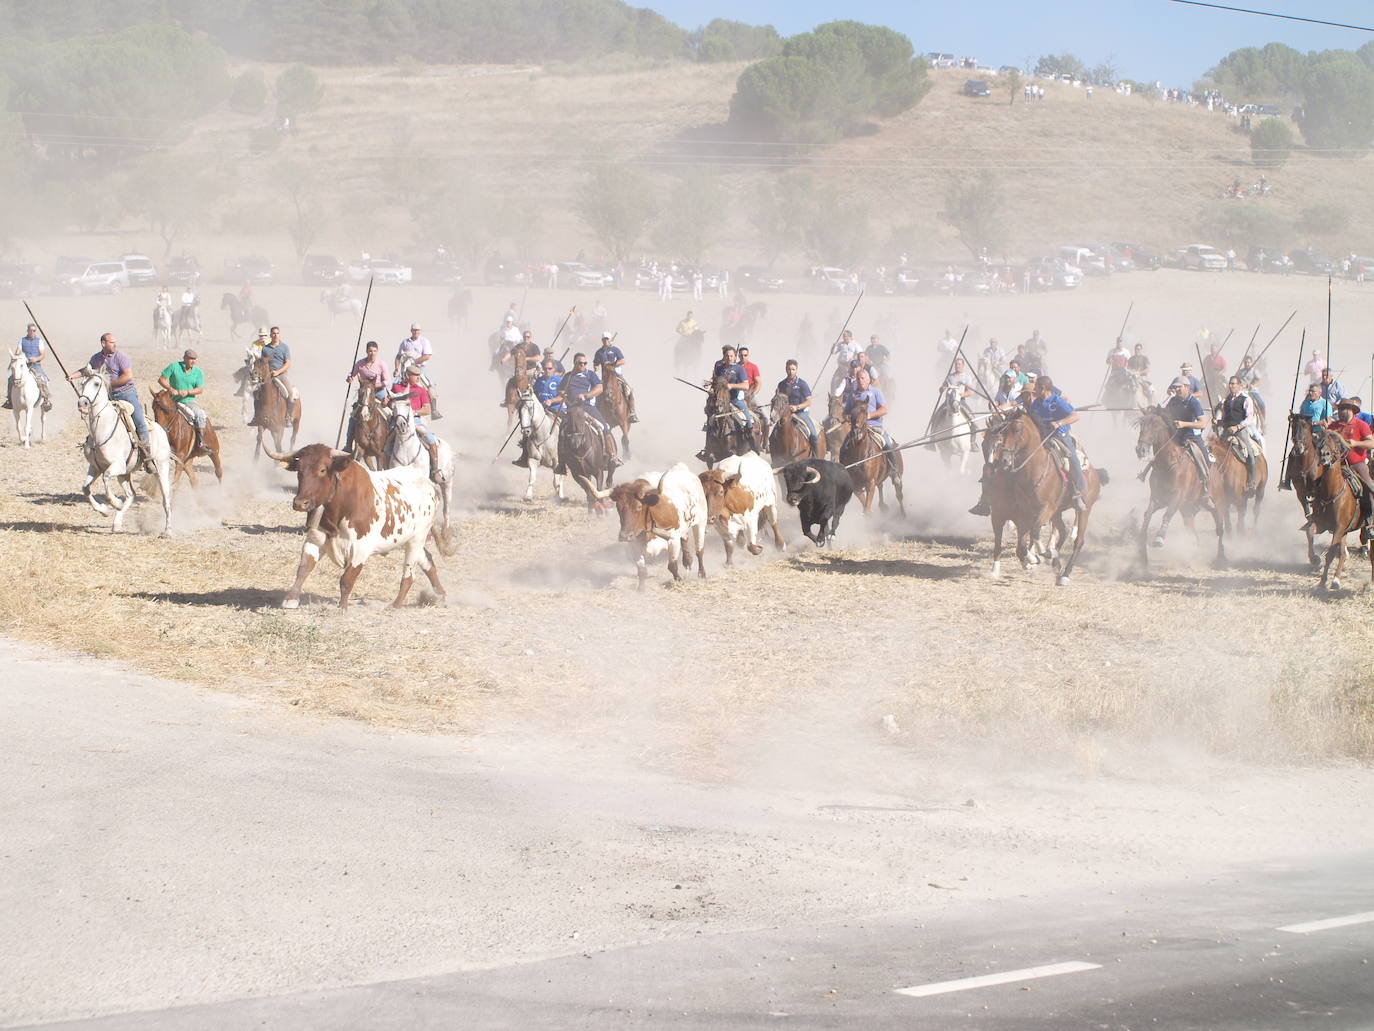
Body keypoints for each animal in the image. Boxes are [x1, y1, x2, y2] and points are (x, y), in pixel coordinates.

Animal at [74, 373, 173, 536]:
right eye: (82, 383)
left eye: (96, 383)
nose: (82, 403)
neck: (102, 430)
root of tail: (161, 430)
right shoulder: (95, 467)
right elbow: (86, 488)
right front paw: (105, 511)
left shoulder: (116, 466)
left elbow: (106, 479)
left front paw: (115, 503)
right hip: (124, 474)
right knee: (131, 494)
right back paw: (117, 523)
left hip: (161, 468)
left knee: (166, 500)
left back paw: (167, 531)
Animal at [273, 442, 450, 604]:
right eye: (299, 470)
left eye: (322, 470)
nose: (300, 503)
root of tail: (430, 484)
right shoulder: (314, 538)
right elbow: (304, 568)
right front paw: (290, 599)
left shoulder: (360, 549)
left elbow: (346, 580)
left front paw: (342, 608)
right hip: (407, 539)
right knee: (427, 560)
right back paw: (441, 595)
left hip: (417, 539)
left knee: (409, 574)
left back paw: (396, 605)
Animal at [384, 398, 458, 552]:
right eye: (393, 407)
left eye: (408, 405)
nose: (401, 425)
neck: (407, 449)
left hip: (447, 483)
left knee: (446, 508)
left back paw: (445, 534)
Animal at [983, 415, 1110, 588]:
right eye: (983, 443)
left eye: (1016, 430)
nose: (1003, 460)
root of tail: (1094, 473)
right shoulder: (1015, 514)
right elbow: (1019, 544)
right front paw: (1035, 558)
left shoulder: (1044, 509)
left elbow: (1034, 533)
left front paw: (1038, 557)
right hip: (1057, 512)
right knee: (1062, 531)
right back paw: (1055, 561)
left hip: (1084, 509)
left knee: (1078, 541)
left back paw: (1064, 574)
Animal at [1126, 406, 1225, 569]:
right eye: (1142, 425)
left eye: (1155, 426)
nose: (1141, 450)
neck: (1168, 463)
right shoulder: (1158, 498)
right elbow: (1147, 515)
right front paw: (1142, 549)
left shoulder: (1177, 497)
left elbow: (1167, 515)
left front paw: (1159, 538)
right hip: (1189, 509)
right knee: (1193, 530)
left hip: (1216, 502)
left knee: (1220, 527)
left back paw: (1221, 557)